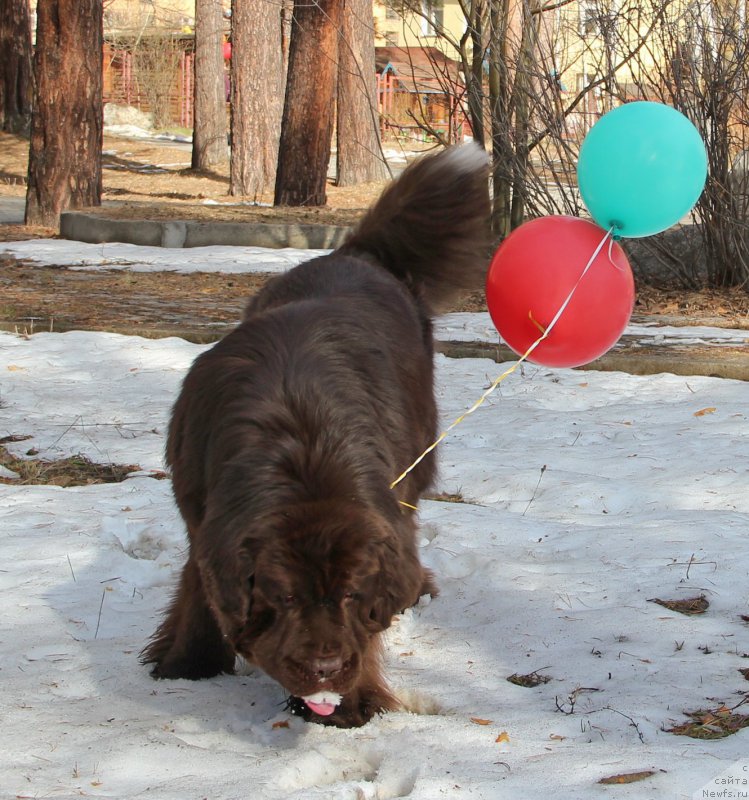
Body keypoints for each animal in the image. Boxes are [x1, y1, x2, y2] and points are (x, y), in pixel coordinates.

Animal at [142, 142, 490, 724]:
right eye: (284, 598)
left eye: (350, 595)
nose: (325, 669)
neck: (300, 451)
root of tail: (357, 253)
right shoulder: (198, 507)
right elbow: (198, 584)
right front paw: (186, 664)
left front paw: (353, 703)